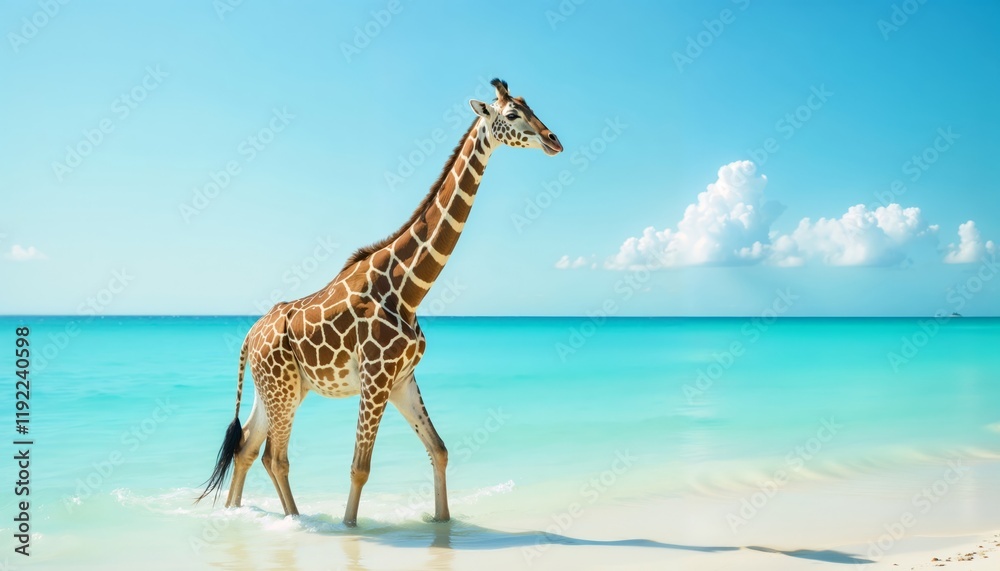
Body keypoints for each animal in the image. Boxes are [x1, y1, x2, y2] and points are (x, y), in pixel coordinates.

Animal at [197, 78, 562, 526]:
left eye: (532, 107)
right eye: (511, 114)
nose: (554, 140)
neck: (409, 289)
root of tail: (250, 336)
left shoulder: (402, 377)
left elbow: (439, 450)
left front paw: (442, 523)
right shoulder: (376, 376)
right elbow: (360, 467)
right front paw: (348, 528)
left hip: (279, 388)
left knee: (246, 446)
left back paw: (237, 514)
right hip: (281, 390)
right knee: (274, 457)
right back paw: (296, 522)